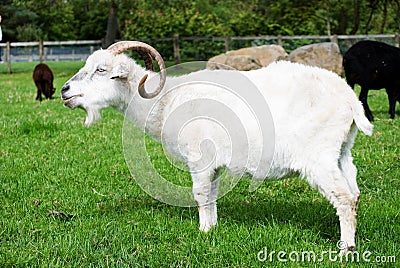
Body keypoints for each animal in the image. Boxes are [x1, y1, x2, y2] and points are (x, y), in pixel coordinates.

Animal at [61, 40, 374, 252]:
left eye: (101, 70)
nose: (64, 90)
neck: (166, 102)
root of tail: (349, 100)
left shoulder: (199, 158)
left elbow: (200, 195)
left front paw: (201, 231)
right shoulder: (215, 164)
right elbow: (211, 195)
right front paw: (212, 229)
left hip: (319, 157)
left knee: (344, 198)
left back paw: (346, 248)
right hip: (342, 152)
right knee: (356, 193)